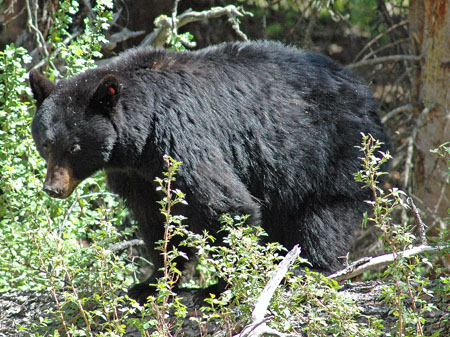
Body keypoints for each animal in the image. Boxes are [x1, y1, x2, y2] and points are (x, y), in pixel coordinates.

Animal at [29, 40, 388, 300]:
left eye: (75, 148)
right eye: (46, 143)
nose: (53, 189)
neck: (140, 134)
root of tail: (365, 92)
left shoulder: (180, 137)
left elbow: (223, 204)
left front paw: (221, 286)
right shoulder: (136, 174)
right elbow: (158, 220)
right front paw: (152, 283)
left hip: (330, 150)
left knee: (324, 214)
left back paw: (309, 268)